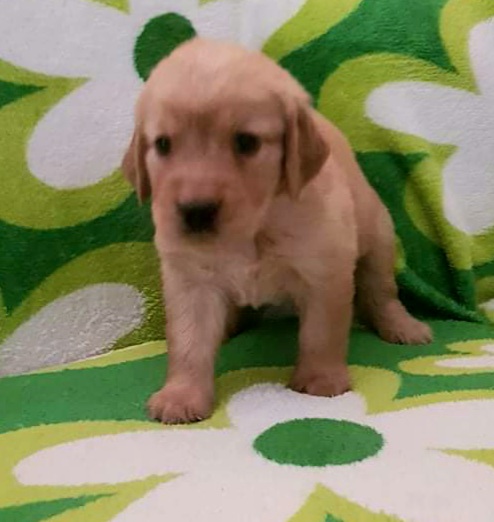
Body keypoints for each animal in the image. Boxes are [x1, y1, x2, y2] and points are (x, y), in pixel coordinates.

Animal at [121, 37, 430, 422]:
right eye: (163, 144)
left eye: (246, 142)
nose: (196, 211)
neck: (253, 230)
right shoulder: (190, 281)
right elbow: (189, 343)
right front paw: (182, 395)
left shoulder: (325, 271)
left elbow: (321, 333)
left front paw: (321, 379)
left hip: (378, 238)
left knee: (381, 293)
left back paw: (404, 327)